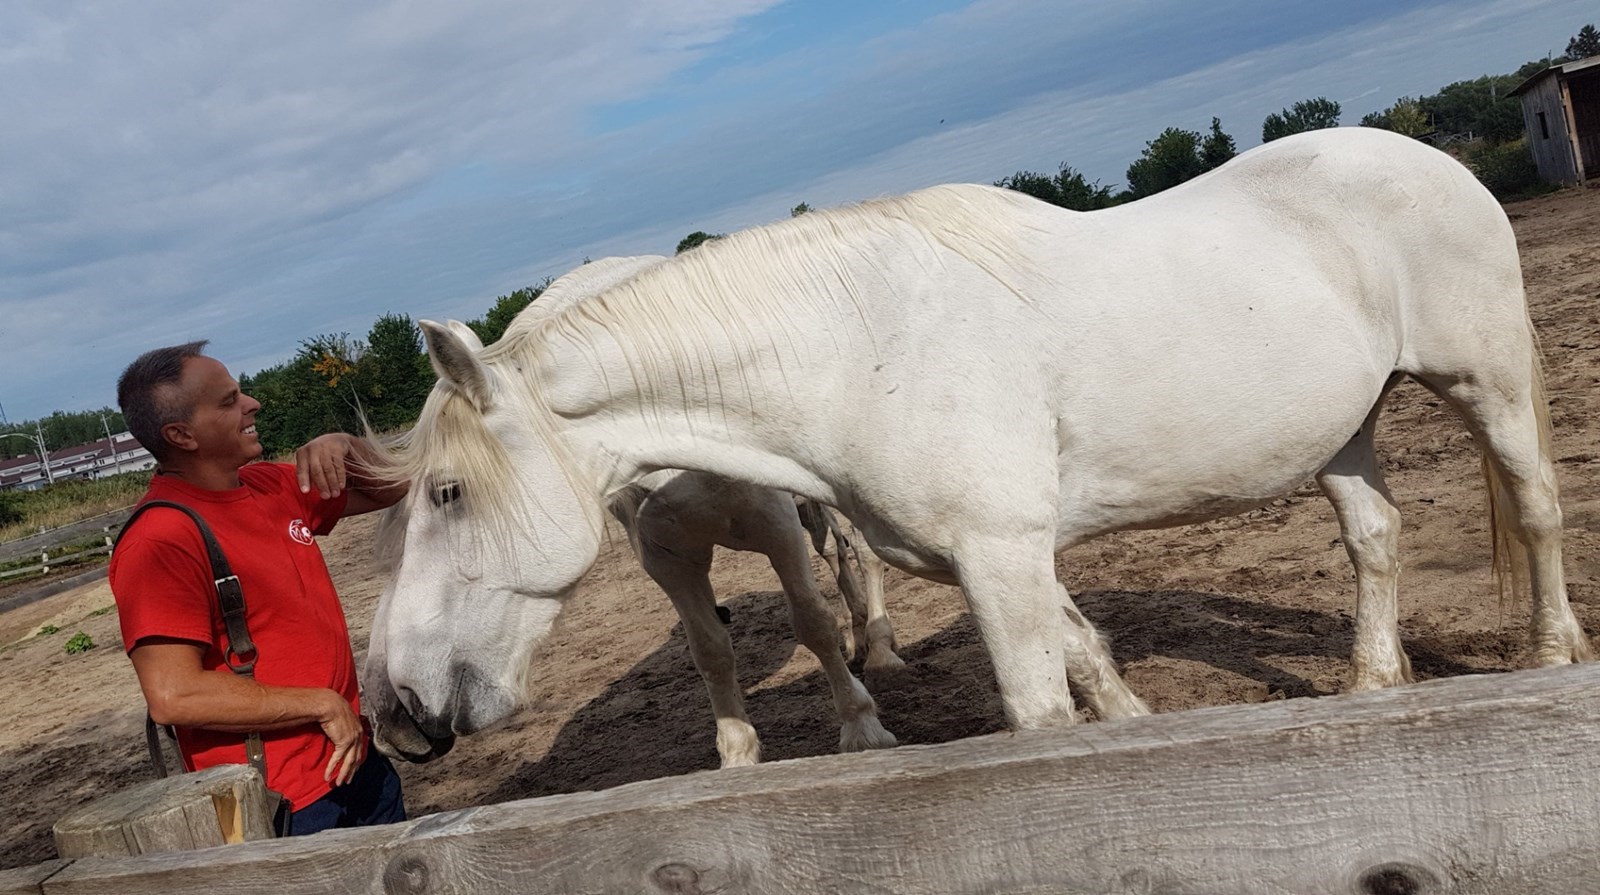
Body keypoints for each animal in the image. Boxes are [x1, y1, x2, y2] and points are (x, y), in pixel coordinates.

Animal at [364, 256, 899, 766]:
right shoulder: (670, 564)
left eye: (448, 492)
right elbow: (711, 653)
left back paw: (879, 648)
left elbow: (813, 621)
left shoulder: (776, 529)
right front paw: (738, 757)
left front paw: (862, 729)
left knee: (855, 553)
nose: (397, 706)